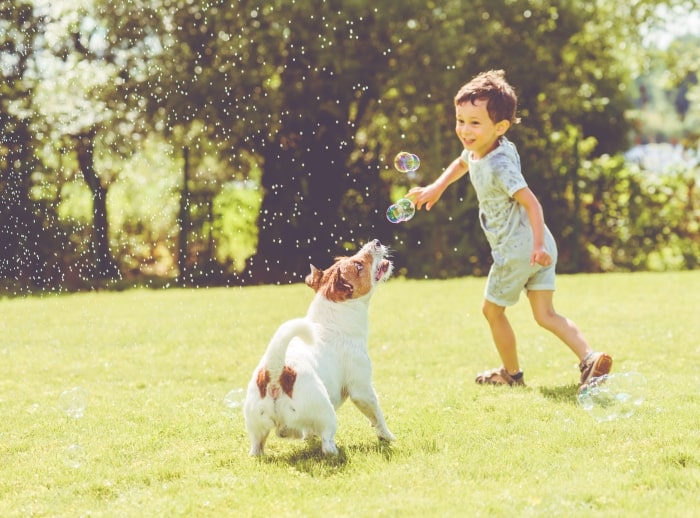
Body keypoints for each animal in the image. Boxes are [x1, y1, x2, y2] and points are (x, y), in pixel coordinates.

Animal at [242, 242, 394, 458]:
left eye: (343, 258)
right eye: (358, 265)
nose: (376, 242)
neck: (330, 320)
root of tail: (276, 373)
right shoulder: (362, 389)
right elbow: (377, 415)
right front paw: (387, 436)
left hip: (256, 424)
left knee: (256, 446)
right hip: (326, 414)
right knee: (327, 443)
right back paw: (335, 452)